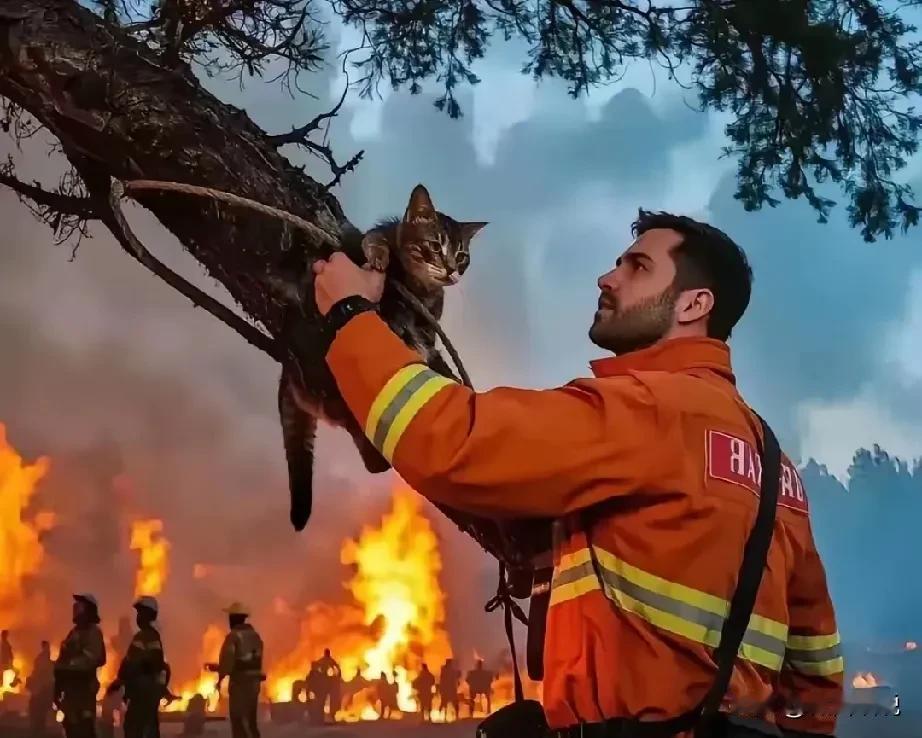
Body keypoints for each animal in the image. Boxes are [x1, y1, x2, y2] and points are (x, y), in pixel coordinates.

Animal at [270, 183, 486, 528]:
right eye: (434, 245)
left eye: (462, 256)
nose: (452, 269)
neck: (420, 289)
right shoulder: (375, 236)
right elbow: (374, 238)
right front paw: (379, 255)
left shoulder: (428, 327)